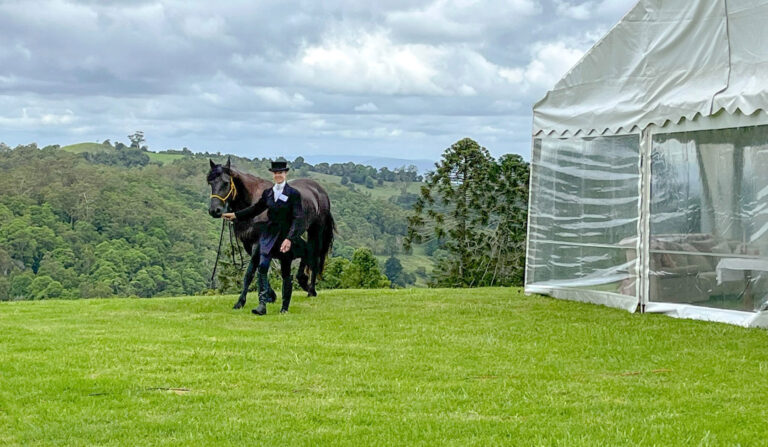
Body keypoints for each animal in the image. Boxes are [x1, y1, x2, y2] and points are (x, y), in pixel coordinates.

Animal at [206, 159, 334, 310]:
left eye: (226, 183)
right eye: (210, 182)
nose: (214, 210)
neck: (252, 199)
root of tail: (320, 190)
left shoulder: (258, 242)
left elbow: (249, 272)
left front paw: (240, 301)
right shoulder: (249, 244)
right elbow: (259, 269)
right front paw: (270, 295)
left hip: (316, 230)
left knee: (314, 255)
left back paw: (311, 289)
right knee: (306, 249)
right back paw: (303, 281)